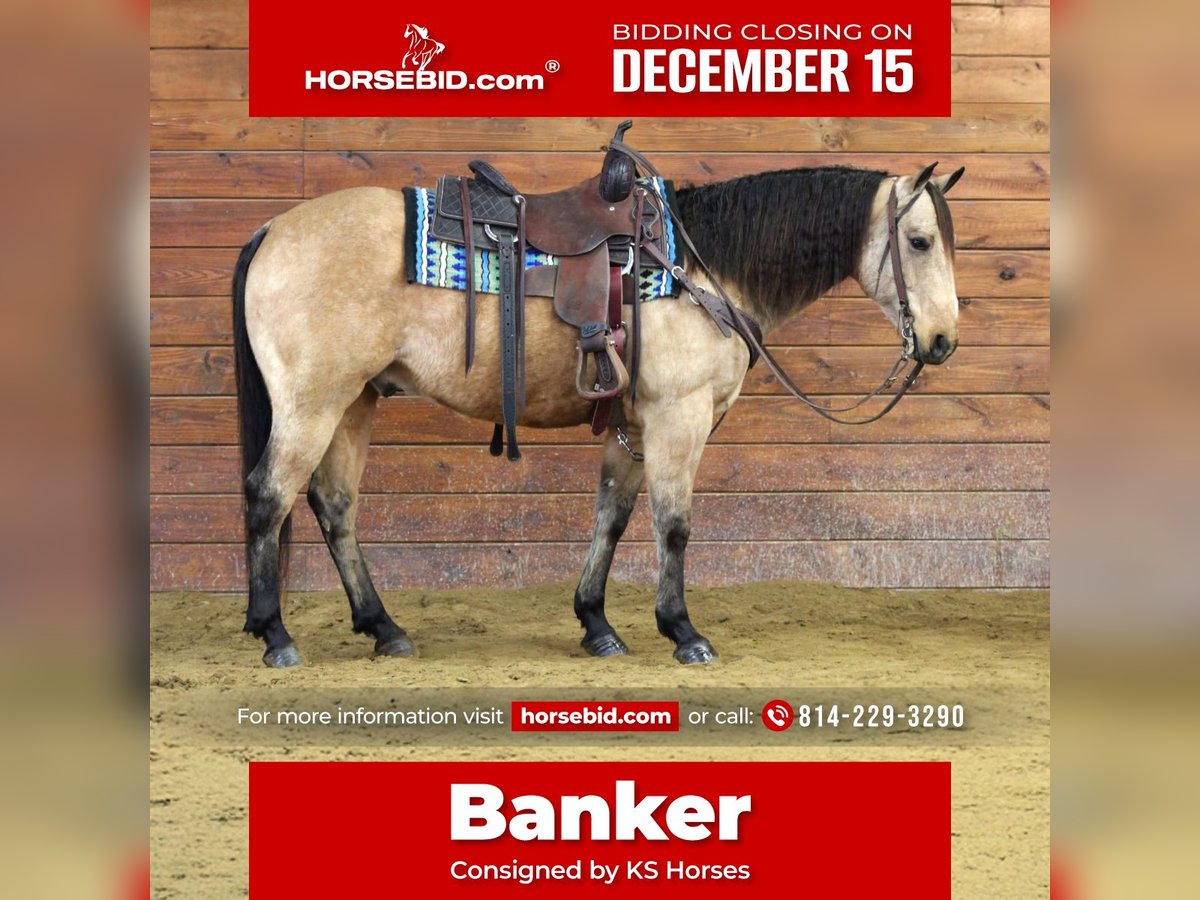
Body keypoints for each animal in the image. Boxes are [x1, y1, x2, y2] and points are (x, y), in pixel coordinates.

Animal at [231, 161, 964, 668]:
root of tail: (273, 229)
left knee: (334, 506)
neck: (700, 270)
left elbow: (611, 516)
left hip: (353, 402)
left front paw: (597, 624)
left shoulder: (633, 428)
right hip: (312, 403)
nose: (941, 341)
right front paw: (683, 631)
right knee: (270, 496)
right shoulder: (678, 420)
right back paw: (276, 634)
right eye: (920, 242)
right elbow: (673, 526)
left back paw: (384, 628)